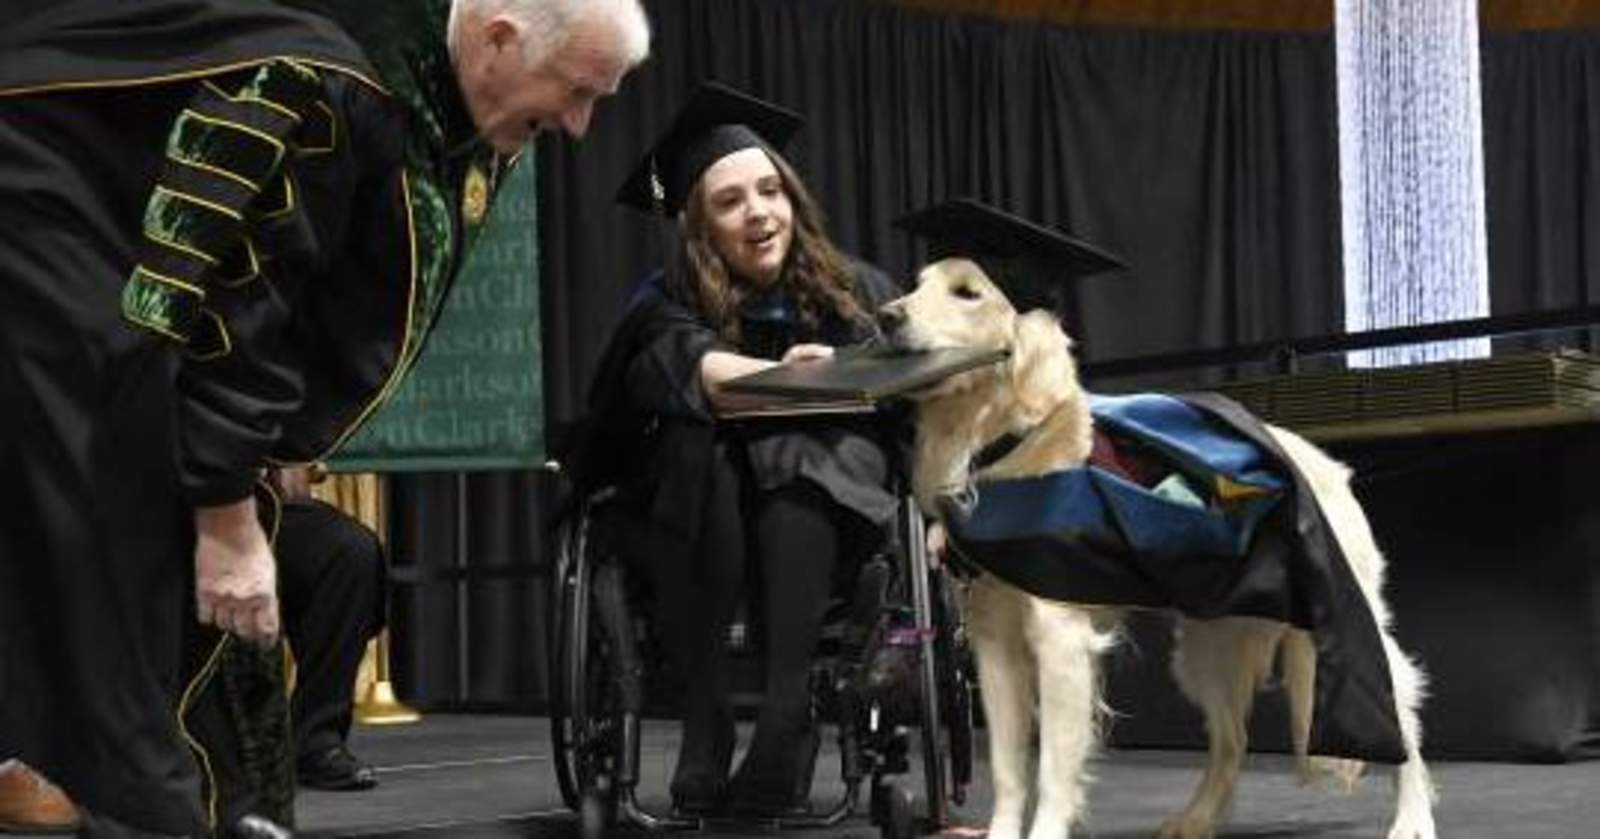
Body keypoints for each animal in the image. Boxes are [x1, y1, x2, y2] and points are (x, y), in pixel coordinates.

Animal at [875, 257, 1438, 839]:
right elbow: (1009, 773)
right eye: (916, 285)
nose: (885, 317)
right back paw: (1196, 819)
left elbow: (1052, 771)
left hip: (1347, 621)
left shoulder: (1060, 640)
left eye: (968, 293)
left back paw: (1412, 818)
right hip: (1208, 648)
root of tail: (1324, 463)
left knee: (1403, 723)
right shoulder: (994, 643)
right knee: (1232, 741)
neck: (999, 444)